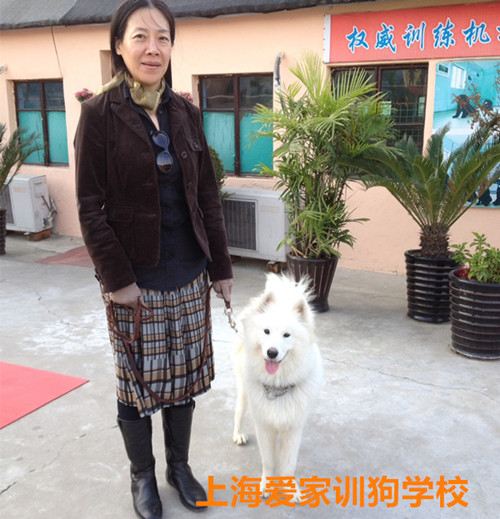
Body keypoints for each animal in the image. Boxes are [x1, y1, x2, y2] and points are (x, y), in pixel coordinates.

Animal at [232, 273, 323, 501]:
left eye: (286, 335)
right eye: (266, 331)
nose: (272, 352)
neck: (278, 385)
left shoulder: (293, 427)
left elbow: (288, 464)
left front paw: (291, 489)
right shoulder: (264, 426)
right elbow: (269, 461)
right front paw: (266, 485)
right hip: (244, 392)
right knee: (238, 412)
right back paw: (238, 435)